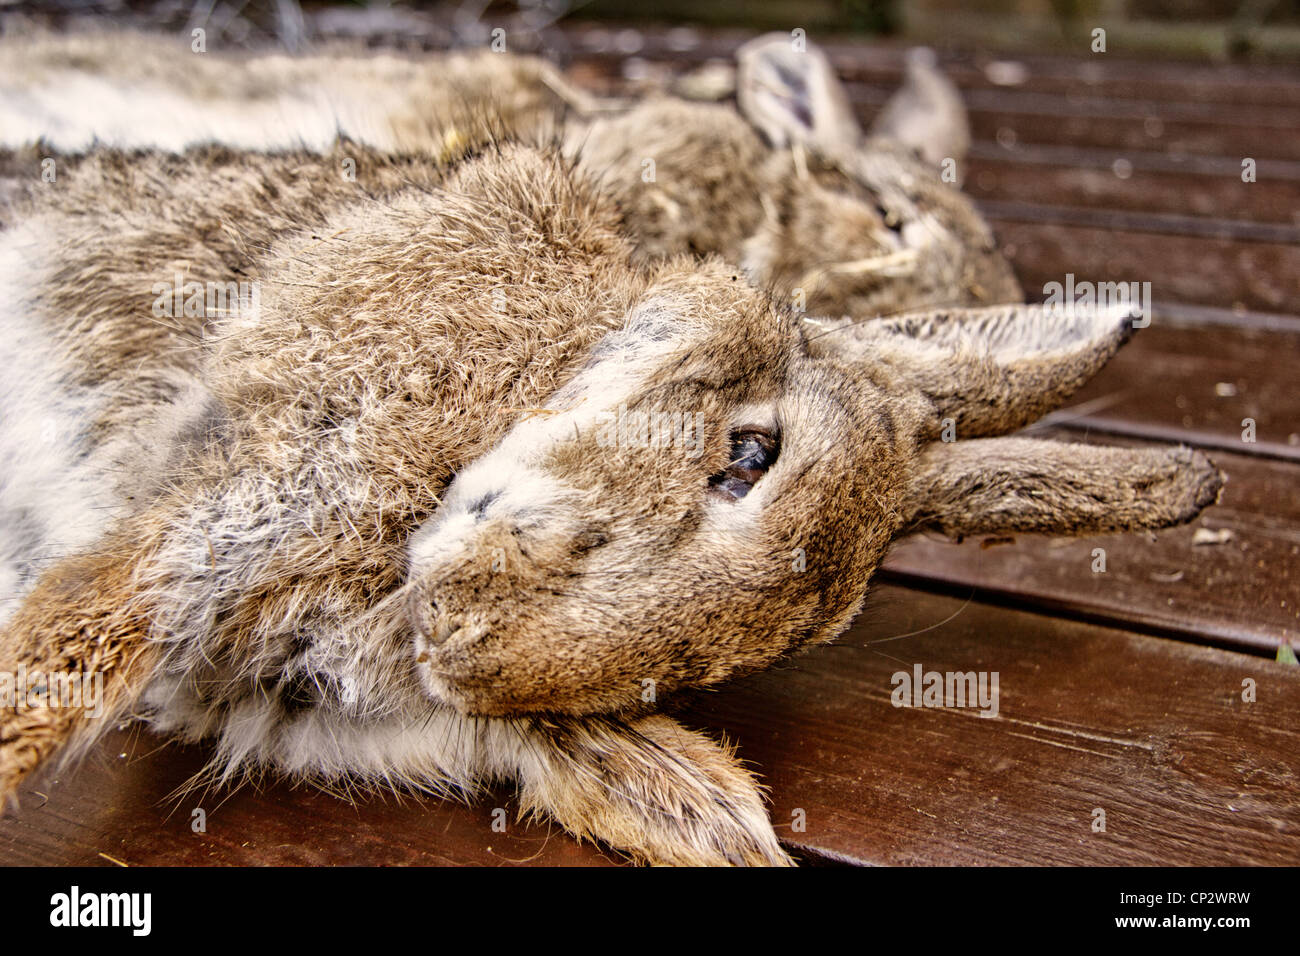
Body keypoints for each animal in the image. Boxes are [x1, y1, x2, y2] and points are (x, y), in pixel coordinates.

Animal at [0, 115, 1227, 863]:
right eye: (747, 455)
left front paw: (704, 807)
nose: (461, 642)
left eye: (708, 668)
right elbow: (65, 660)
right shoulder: (259, 499)